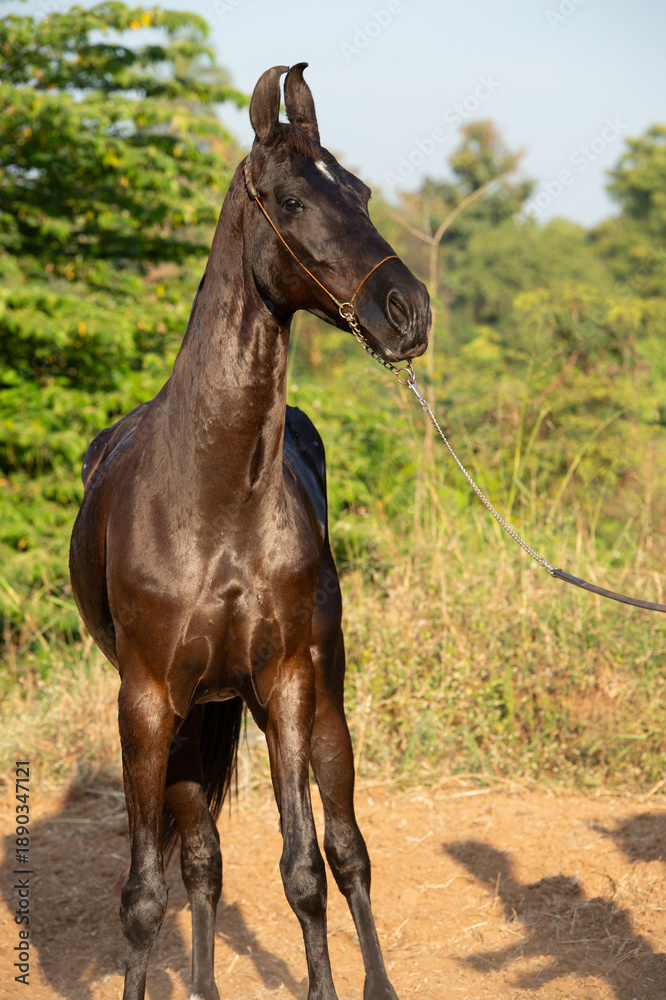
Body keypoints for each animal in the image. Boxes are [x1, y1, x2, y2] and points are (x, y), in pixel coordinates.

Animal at [69, 63, 430, 1000]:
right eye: (293, 200)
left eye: (361, 192)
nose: (407, 310)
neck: (213, 497)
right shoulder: (147, 702)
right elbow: (145, 895)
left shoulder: (288, 682)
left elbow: (307, 869)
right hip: (199, 716)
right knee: (202, 859)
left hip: (317, 699)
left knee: (348, 849)